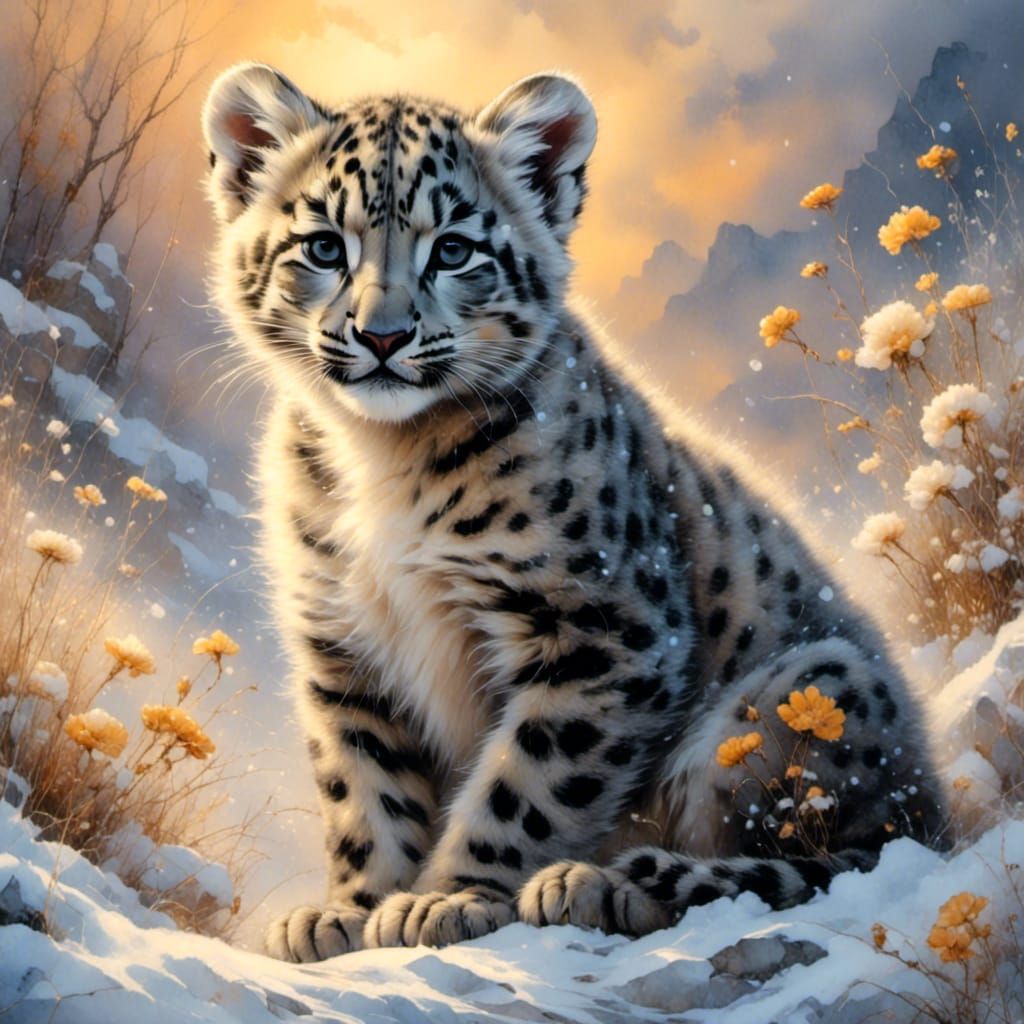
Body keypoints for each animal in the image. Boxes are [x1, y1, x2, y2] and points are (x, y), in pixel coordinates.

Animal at [201, 62, 948, 962]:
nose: (382, 336)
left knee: (817, 859)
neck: (380, 457)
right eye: (321, 246)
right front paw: (349, 910)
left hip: (805, 695)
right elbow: (365, 787)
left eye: (454, 249)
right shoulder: (344, 646)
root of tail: (936, 805)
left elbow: (526, 783)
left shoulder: (603, 631)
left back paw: (602, 885)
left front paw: (444, 897)